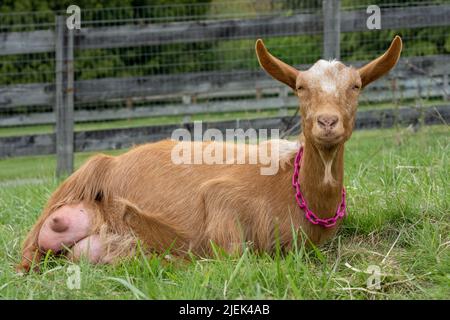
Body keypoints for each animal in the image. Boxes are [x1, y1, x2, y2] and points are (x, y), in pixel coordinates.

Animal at [19, 36, 402, 272]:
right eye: (300, 87)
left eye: (355, 86)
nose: (327, 121)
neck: (290, 188)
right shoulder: (221, 198)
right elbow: (232, 253)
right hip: (78, 180)